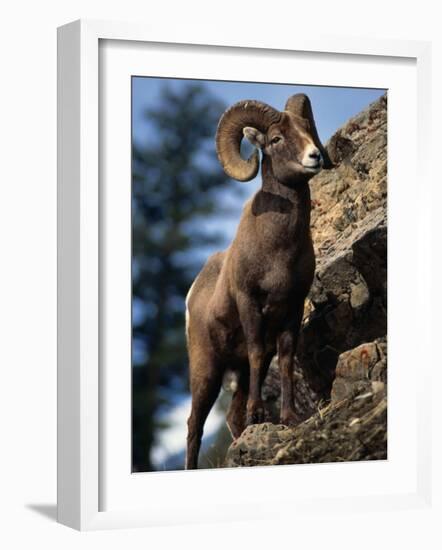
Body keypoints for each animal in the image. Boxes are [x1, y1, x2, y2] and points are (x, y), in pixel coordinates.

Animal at [184, 94, 332, 470]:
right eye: (276, 139)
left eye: (307, 129)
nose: (314, 157)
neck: (278, 250)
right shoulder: (250, 305)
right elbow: (254, 349)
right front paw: (260, 414)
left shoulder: (291, 309)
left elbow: (287, 356)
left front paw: (288, 418)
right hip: (206, 370)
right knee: (194, 425)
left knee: (231, 418)